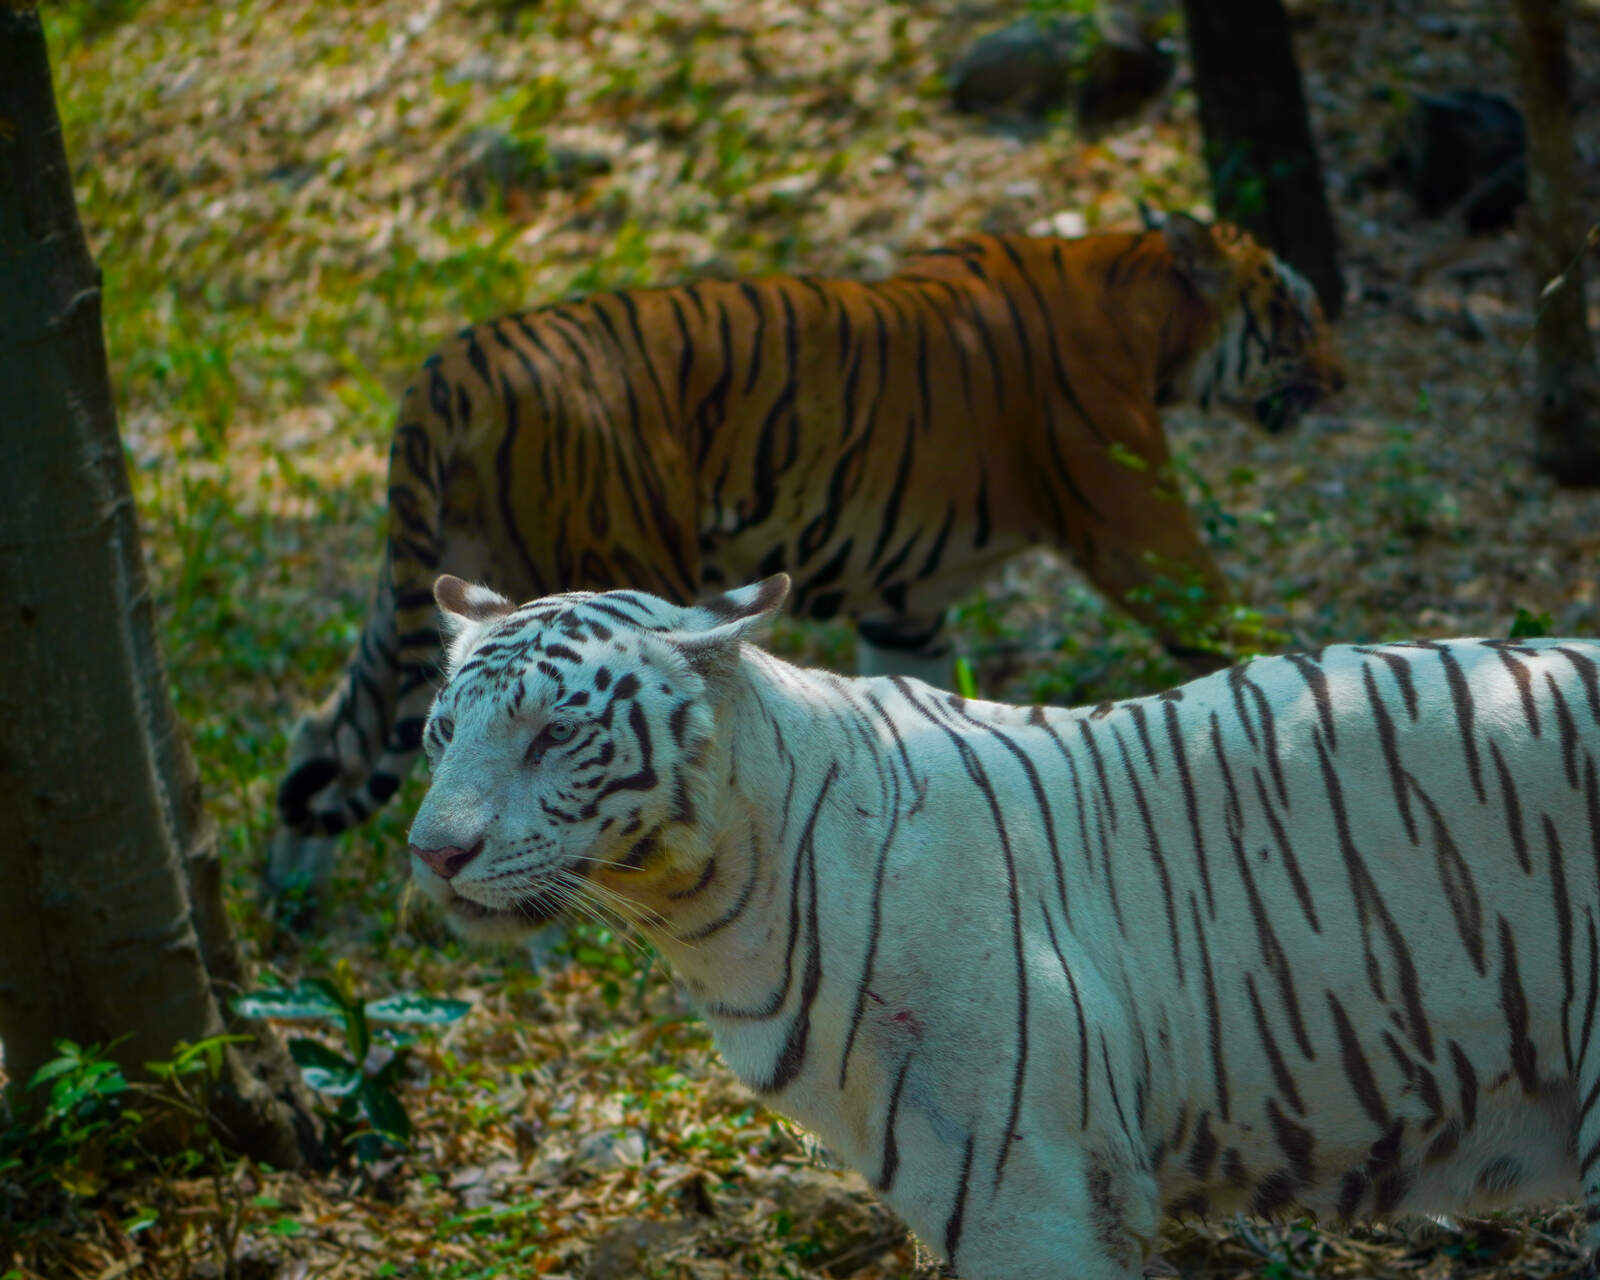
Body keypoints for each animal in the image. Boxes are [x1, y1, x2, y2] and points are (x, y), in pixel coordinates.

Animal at [269, 213, 1341, 900]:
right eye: (1296, 308)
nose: (1343, 377)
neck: (1135, 292)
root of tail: (449, 367)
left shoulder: (906, 605)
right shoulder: (1134, 523)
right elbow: (1222, 623)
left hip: (416, 588)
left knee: (331, 729)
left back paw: (291, 898)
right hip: (605, 559)